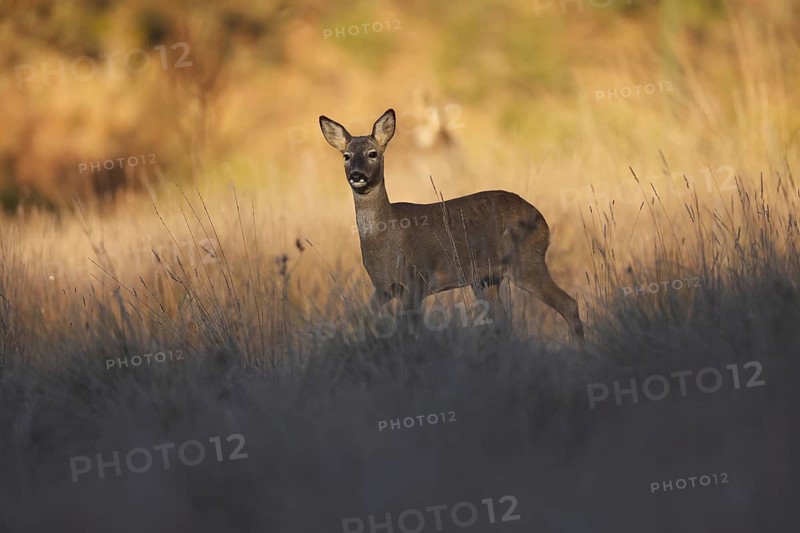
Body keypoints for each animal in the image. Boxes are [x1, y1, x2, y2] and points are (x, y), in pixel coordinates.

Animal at [318, 108, 584, 341]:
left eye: (372, 153)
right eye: (346, 156)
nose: (356, 175)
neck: (387, 236)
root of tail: (542, 221)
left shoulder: (417, 279)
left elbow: (409, 329)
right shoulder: (383, 287)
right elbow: (360, 318)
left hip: (526, 261)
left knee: (569, 304)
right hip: (487, 279)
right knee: (503, 321)